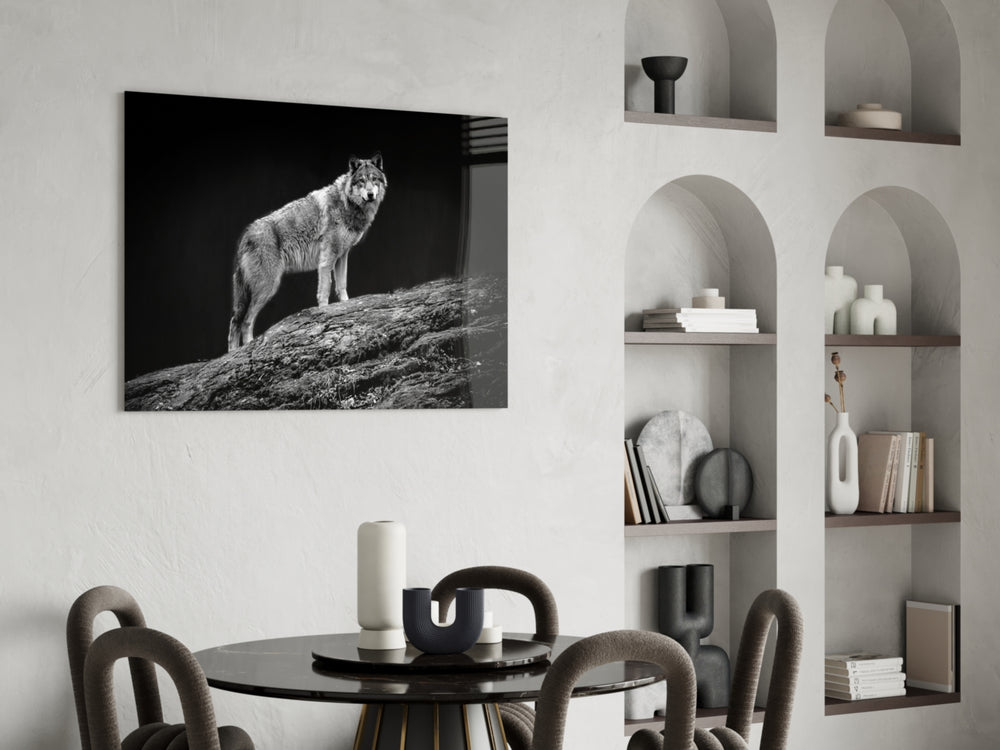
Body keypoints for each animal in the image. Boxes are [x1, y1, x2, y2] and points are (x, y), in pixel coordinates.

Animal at [227, 153, 387, 351]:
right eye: (362, 181)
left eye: (374, 179)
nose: (371, 194)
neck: (346, 203)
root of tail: (245, 235)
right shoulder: (327, 258)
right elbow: (325, 290)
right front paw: (325, 311)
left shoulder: (342, 256)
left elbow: (342, 286)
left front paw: (346, 306)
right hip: (267, 287)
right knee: (245, 321)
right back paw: (246, 347)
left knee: (234, 321)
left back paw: (232, 354)